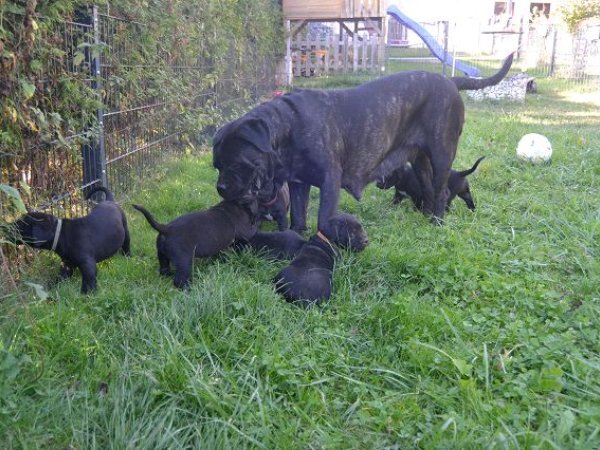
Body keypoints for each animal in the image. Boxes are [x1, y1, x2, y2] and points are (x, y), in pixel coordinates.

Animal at [213, 54, 513, 232]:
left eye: (237, 164)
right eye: (217, 165)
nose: (221, 187)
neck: (288, 128)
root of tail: (450, 81)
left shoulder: (329, 181)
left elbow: (323, 219)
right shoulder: (299, 183)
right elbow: (298, 216)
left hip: (441, 154)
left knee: (440, 192)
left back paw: (437, 223)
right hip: (419, 160)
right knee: (428, 189)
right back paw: (426, 218)